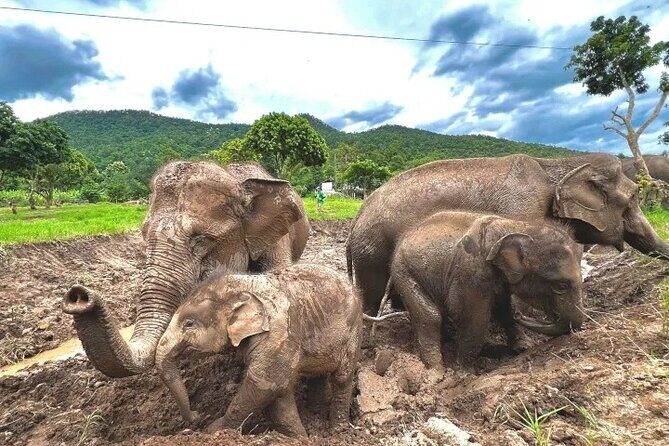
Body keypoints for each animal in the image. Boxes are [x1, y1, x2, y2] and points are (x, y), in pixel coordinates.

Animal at [153, 263, 362, 437]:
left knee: (342, 378)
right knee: (317, 375)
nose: (198, 414)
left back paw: (338, 430)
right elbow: (279, 391)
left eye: (188, 324)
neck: (242, 285)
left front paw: (212, 431)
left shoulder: (278, 334)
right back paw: (315, 415)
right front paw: (298, 437)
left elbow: (266, 384)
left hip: (352, 332)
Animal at [346, 153, 669, 313]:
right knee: (372, 291)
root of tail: (358, 214)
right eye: (633, 198)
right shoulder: (522, 210)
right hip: (371, 248)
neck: (555, 165)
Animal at [381, 211, 584, 370]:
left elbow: (504, 309)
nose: (522, 315)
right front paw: (463, 371)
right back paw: (436, 372)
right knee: (429, 317)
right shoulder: (471, 273)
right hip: (404, 272)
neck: (516, 226)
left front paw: (523, 348)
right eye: (561, 286)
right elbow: (473, 316)